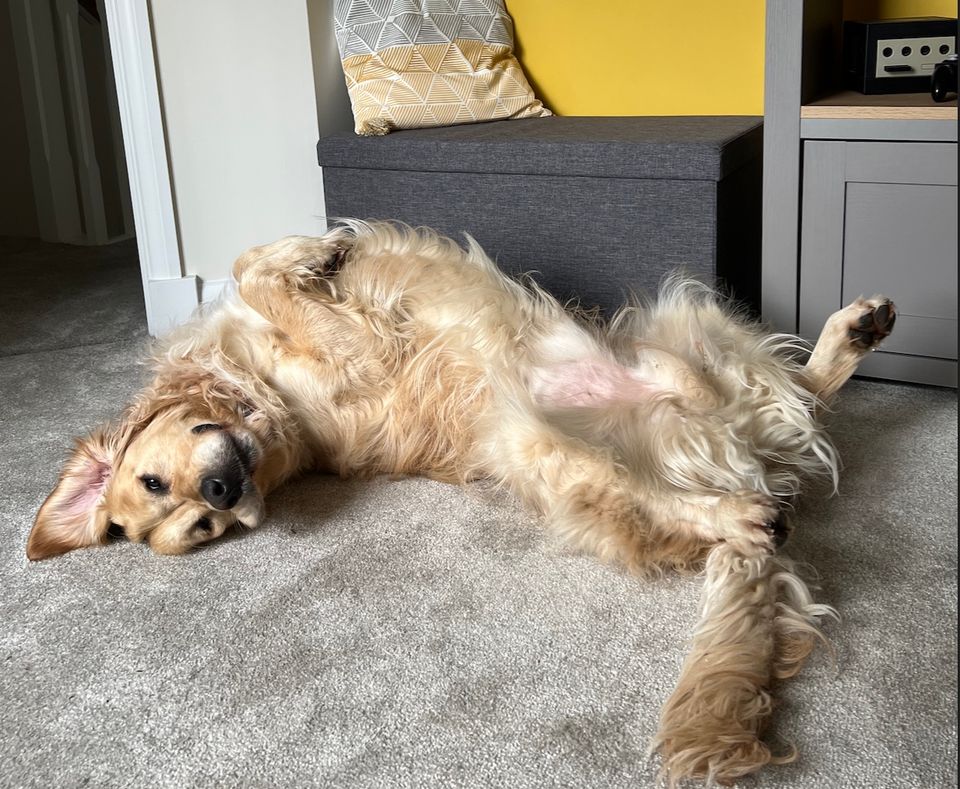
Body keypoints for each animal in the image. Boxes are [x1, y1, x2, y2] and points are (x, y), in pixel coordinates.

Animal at [30, 219, 900, 784]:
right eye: (199, 526)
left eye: (160, 487)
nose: (224, 492)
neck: (254, 393)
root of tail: (741, 459)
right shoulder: (356, 351)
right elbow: (258, 274)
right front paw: (310, 259)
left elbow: (250, 261)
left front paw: (320, 249)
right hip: (535, 444)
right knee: (699, 473)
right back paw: (741, 508)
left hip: (688, 321)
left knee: (792, 390)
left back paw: (850, 332)